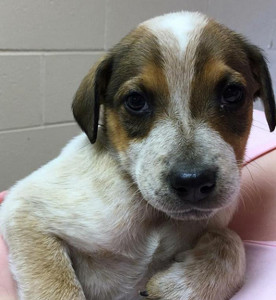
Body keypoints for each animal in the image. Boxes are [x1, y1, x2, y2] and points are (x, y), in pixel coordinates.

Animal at [0, 11, 274, 300]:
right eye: (135, 101)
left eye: (232, 94)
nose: (193, 182)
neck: (154, 219)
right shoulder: (24, 210)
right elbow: (58, 288)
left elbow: (232, 241)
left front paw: (180, 284)